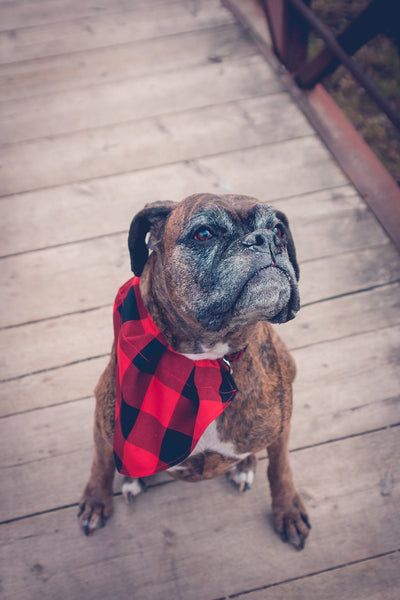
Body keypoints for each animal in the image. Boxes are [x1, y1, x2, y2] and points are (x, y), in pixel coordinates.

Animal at [78, 195, 310, 552]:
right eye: (204, 233)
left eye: (278, 229)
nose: (264, 239)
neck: (208, 362)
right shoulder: (103, 424)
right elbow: (100, 465)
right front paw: (96, 502)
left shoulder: (281, 426)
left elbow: (281, 468)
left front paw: (288, 511)